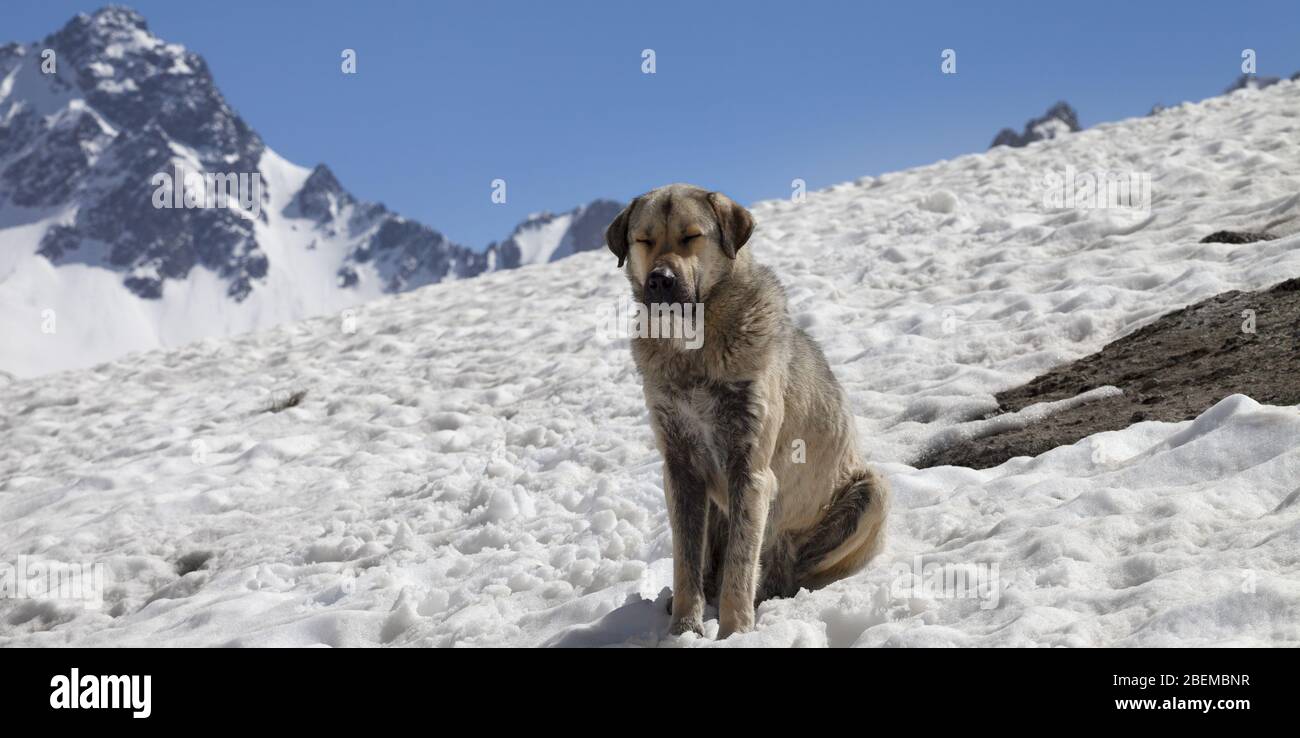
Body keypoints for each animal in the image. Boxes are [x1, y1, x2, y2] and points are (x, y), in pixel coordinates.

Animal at [608, 181, 894, 636]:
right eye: (644, 240)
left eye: (692, 236)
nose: (660, 280)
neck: (695, 344)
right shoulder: (679, 466)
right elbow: (685, 559)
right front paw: (684, 631)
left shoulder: (750, 466)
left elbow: (740, 565)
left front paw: (734, 632)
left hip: (872, 493)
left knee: (788, 568)